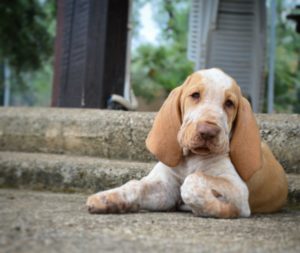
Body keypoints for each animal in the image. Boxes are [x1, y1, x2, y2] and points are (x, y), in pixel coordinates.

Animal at [86, 68, 288, 217]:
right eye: (195, 95)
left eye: (230, 103)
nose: (208, 131)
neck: (192, 158)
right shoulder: (165, 185)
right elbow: (136, 185)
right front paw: (108, 199)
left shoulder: (238, 190)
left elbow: (192, 181)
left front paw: (221, 209)